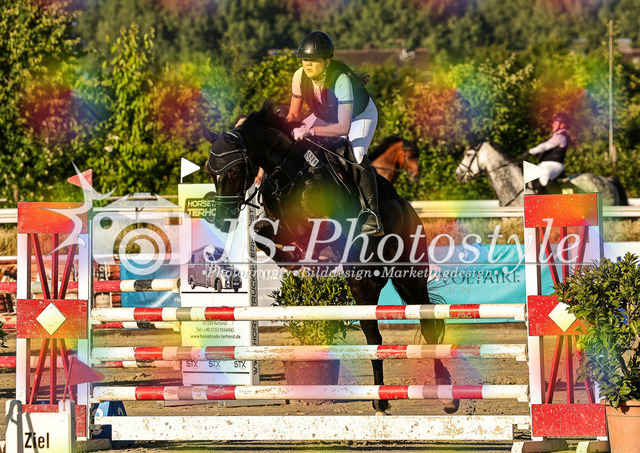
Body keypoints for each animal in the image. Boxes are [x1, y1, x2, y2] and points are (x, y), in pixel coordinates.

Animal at [203, 102, 458, 415]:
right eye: (210, 171)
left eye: (236, 168)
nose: (221, 219)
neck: (288, 172)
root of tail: (410, 210)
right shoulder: (279, 226)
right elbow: (261, 231)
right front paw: (294, 262)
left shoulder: (328, 223)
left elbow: (317, 235)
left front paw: (316, 257)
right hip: (363, 284)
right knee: (374, 338)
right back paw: (381, 401)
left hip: (409, 277)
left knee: (427, 327)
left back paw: (445, 396)